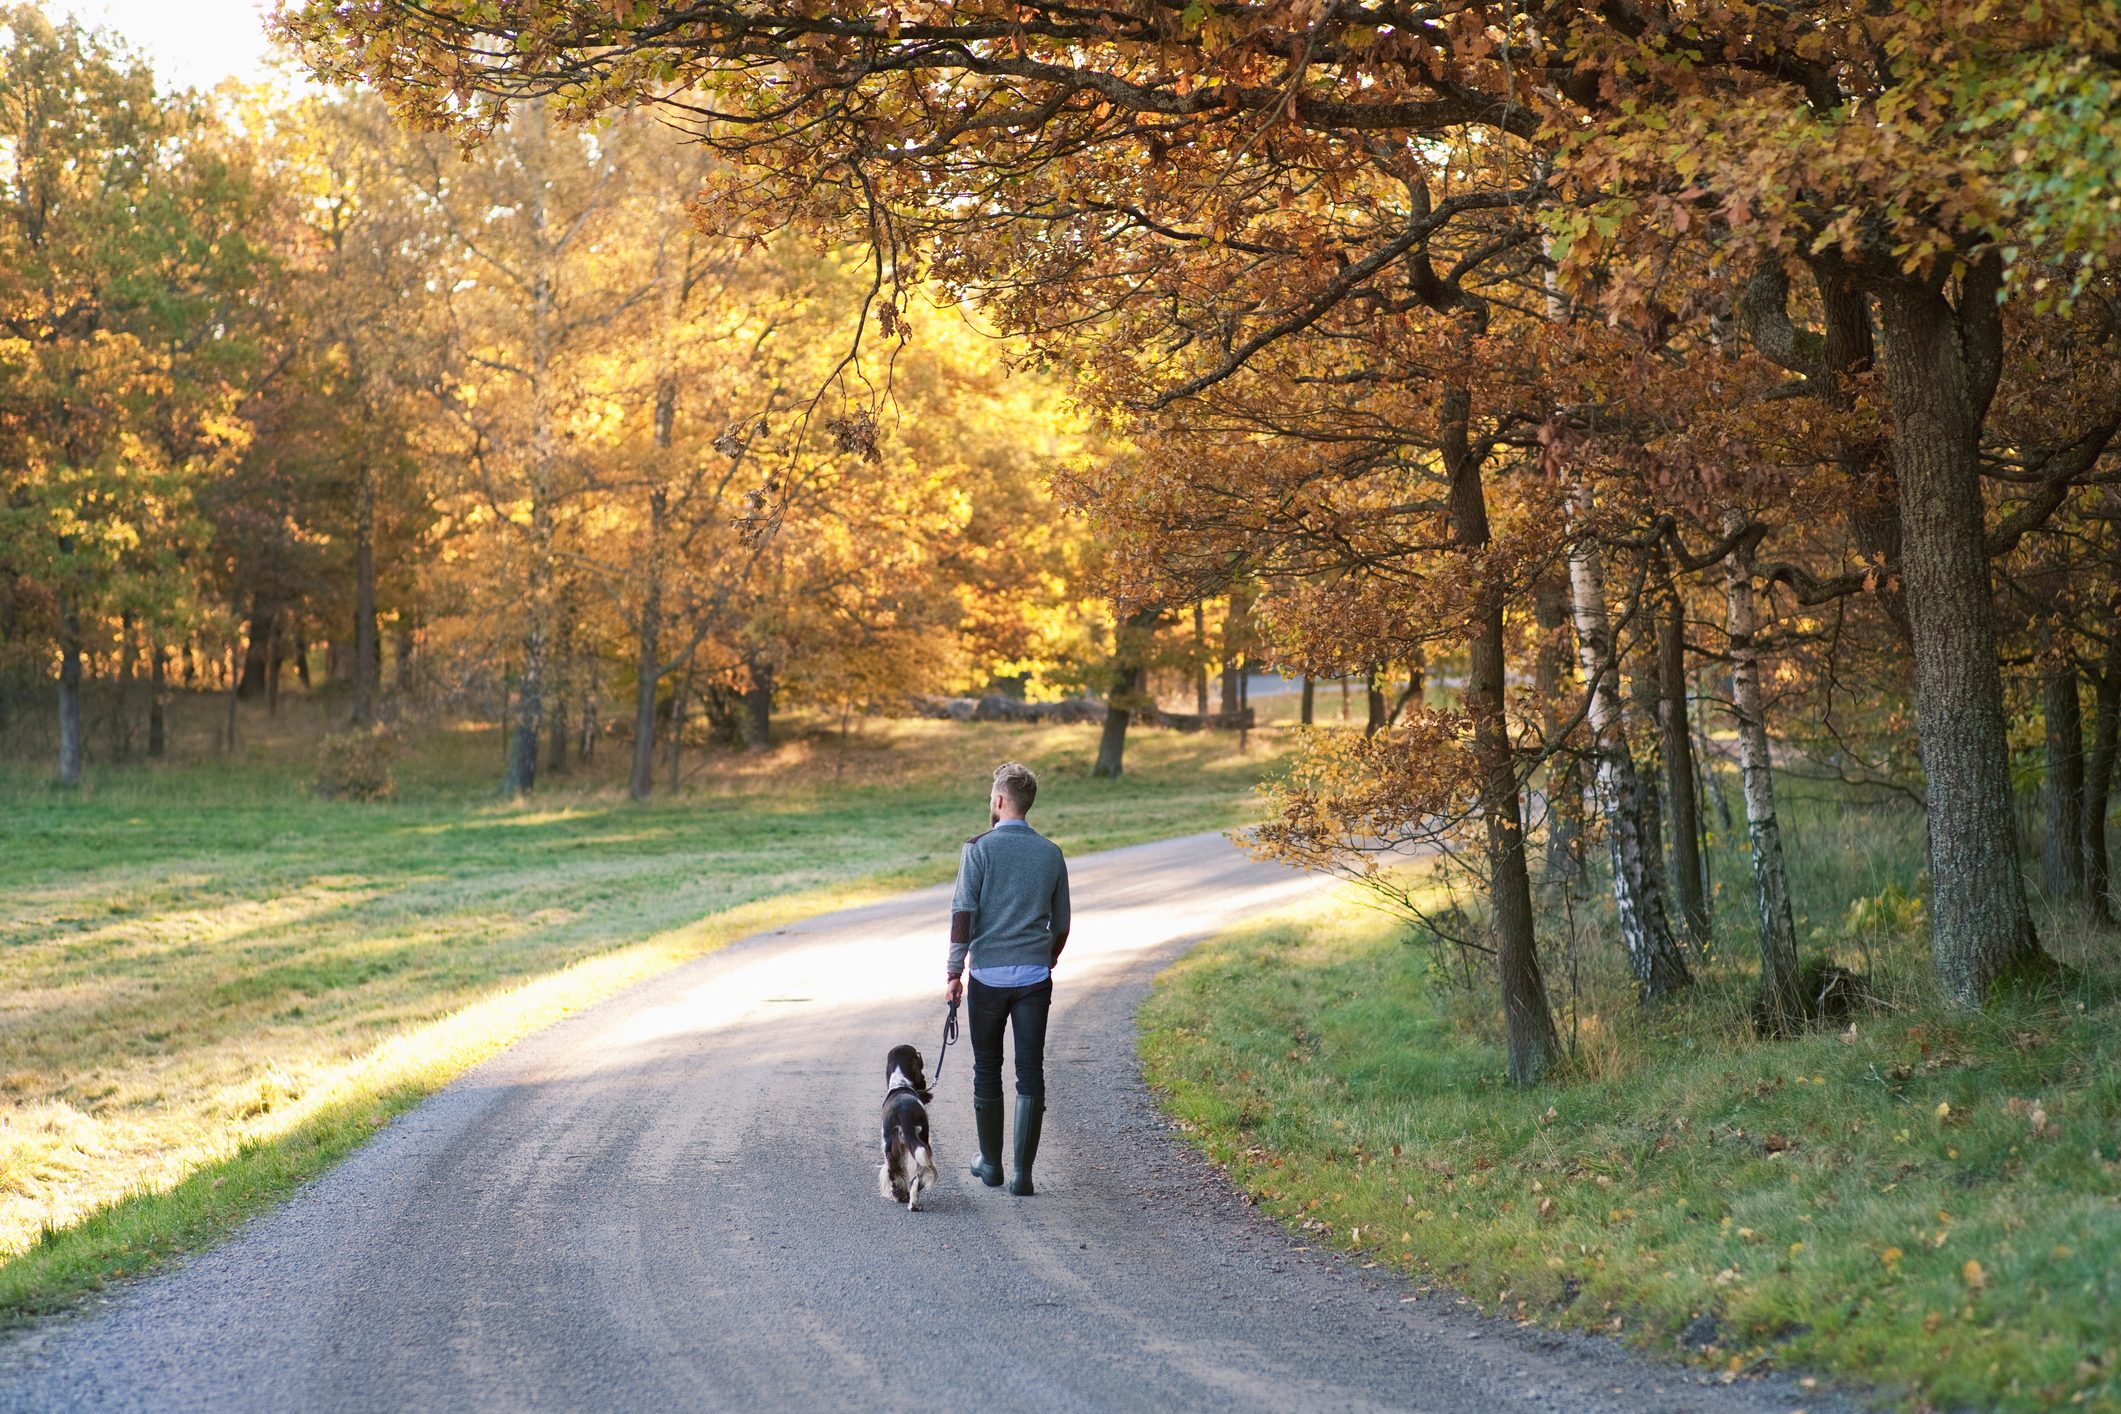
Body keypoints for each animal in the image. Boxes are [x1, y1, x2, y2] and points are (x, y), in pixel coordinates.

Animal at [882, 1047, 941, 1212]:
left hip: (893, 1148)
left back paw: (904, 1198)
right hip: (923, 1145)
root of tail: (904, 1113)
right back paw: (913, 1203)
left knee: (895, 1172)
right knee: (914, 1177)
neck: (901, 1084)